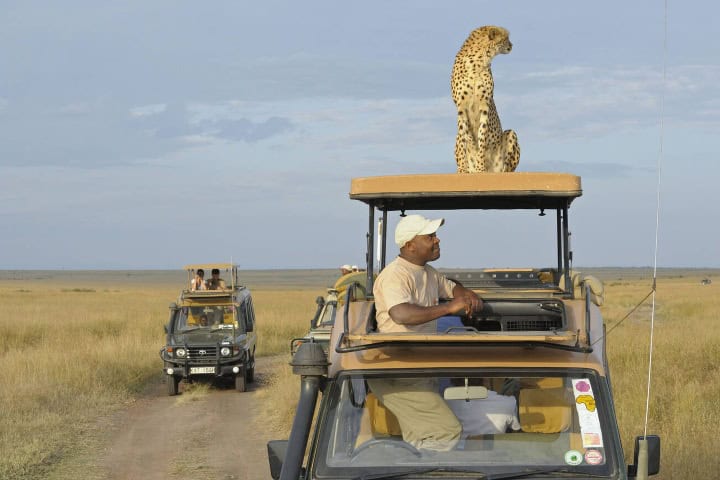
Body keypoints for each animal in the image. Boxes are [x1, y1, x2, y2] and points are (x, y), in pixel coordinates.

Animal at [451, 25, 520, 173]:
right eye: (505, 38)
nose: (512, 45)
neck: (478, 61)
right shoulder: (461, 107)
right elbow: (465, 138)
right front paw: (464, 168)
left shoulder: (485, 105)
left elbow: (482, 136)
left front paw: (480, 166)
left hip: (510, 135)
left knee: (506, 169)